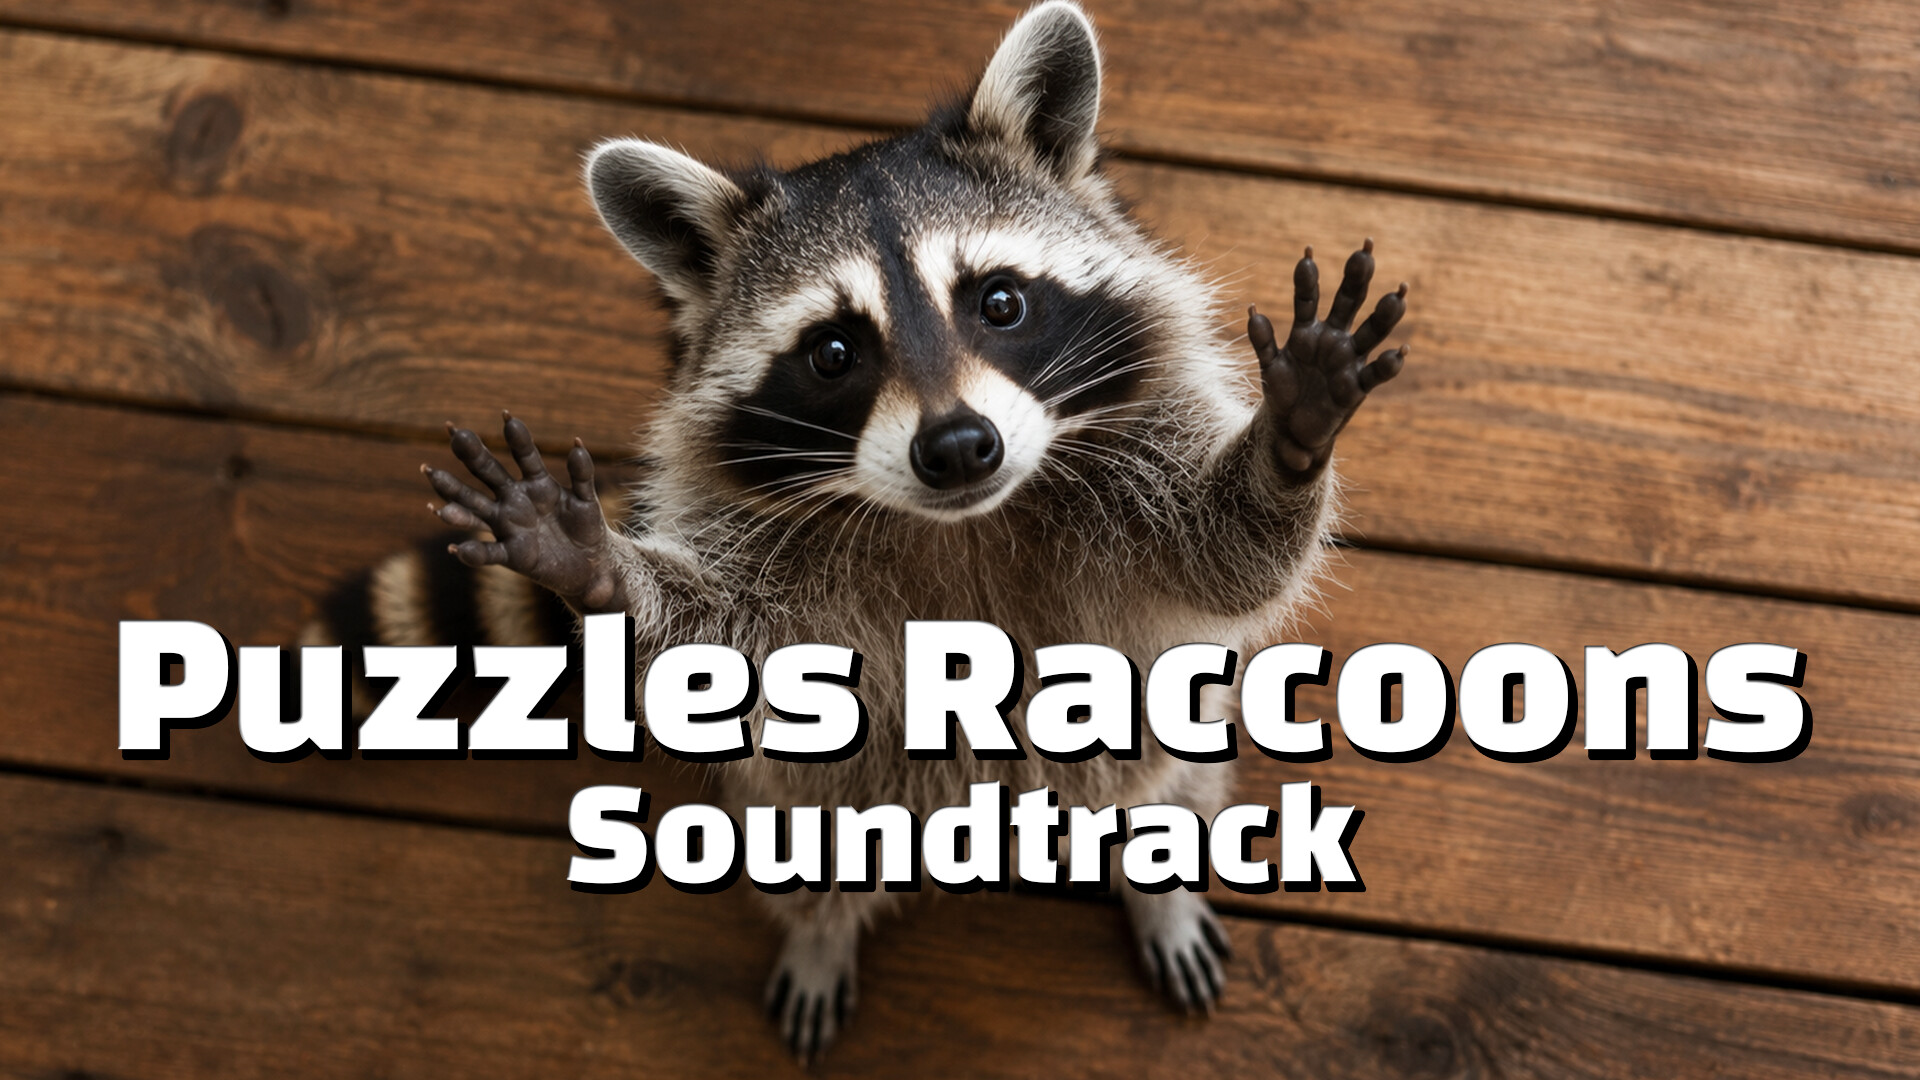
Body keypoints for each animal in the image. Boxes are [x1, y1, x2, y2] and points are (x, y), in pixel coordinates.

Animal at [323, 0, 1408, 1058]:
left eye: (1000, 300)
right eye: (834, 352)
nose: (960, 447)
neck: (964, 519)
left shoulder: (1137, 457)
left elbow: (1222, 556)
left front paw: (1291, 433)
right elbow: (720, 649)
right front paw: (596, 570)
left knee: (1171, 793)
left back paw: (1161, 883)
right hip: (818, 797)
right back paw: (821, 930)